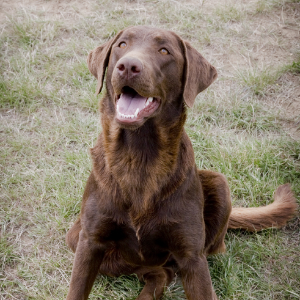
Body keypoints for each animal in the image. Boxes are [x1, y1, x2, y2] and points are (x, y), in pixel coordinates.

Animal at [64, 26, 296, 300]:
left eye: (164, 51)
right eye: (122, 45)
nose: (128, 66)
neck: (140, 155)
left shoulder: (192, 257)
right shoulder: (89, 242)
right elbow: (76, 290)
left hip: (219, 185)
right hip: (78, 237)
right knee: (159, 273)